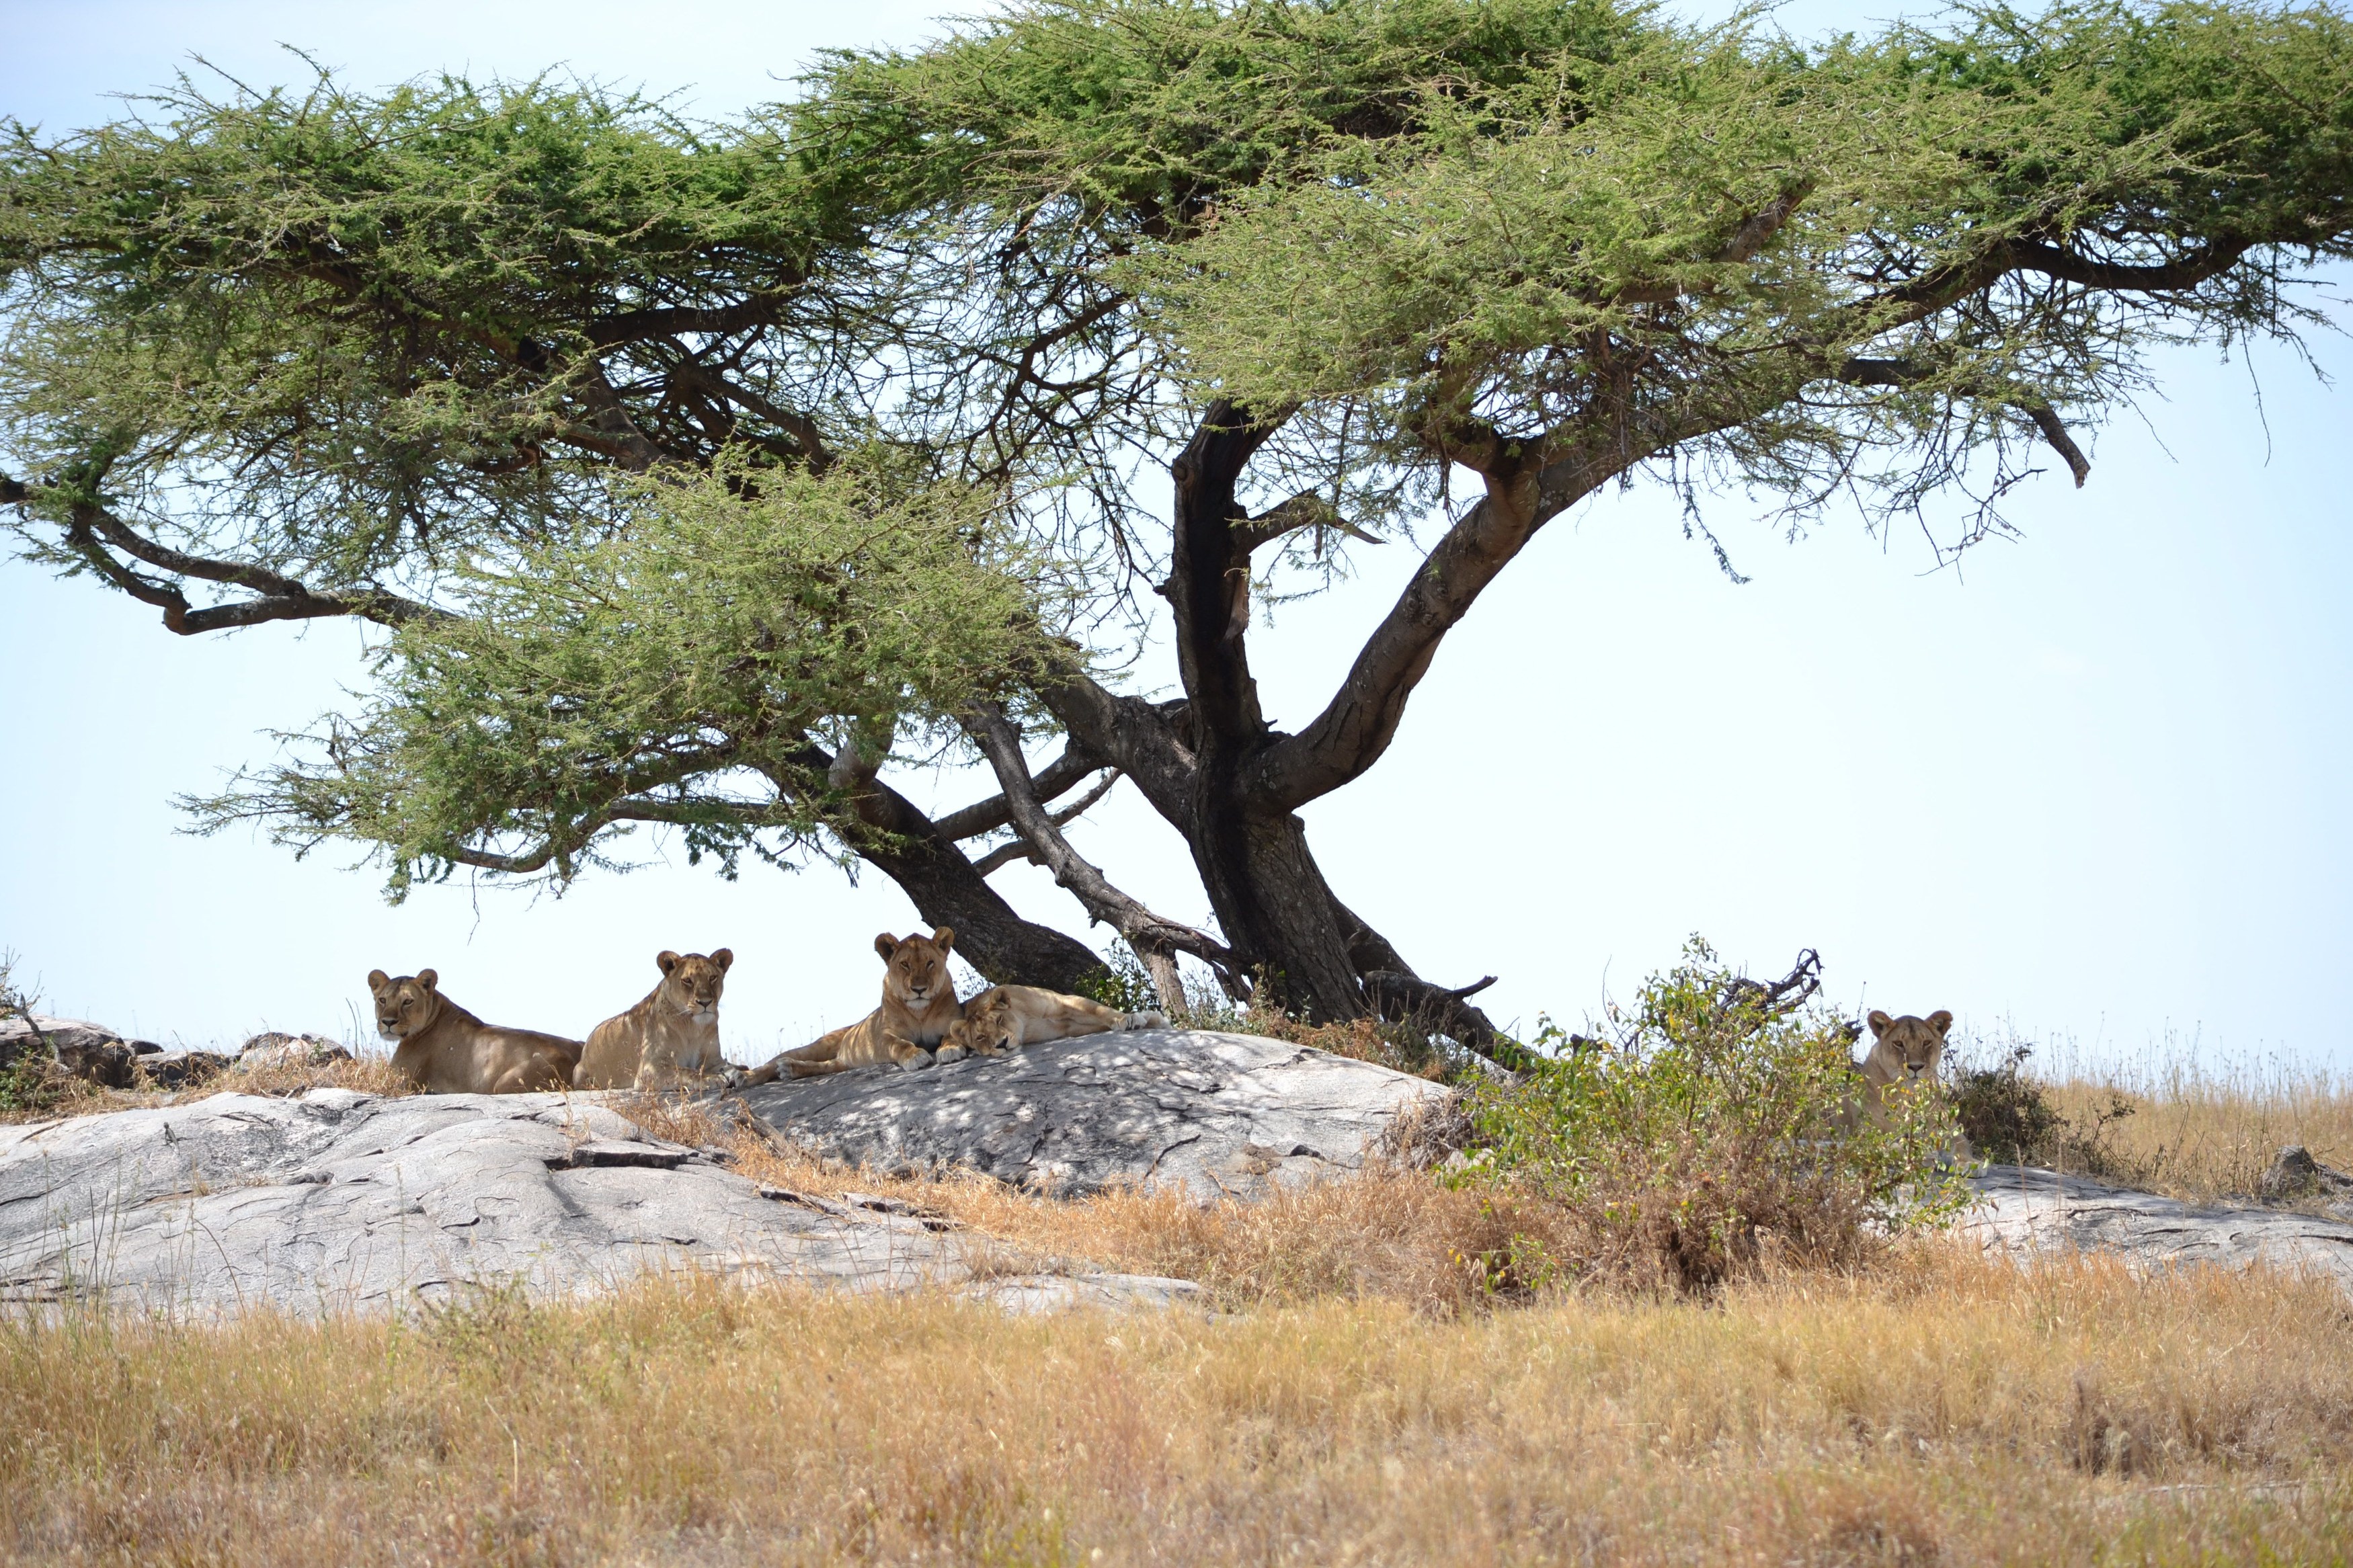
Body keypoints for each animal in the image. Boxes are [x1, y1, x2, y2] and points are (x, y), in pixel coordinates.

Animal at [575, 949, 733, 1091]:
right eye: (687, 980)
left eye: (712, 978)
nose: (705, 1002)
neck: (693, 1028)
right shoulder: (650, 1069)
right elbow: (686, 1071)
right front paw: (712, 1078)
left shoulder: (714, 1060)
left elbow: (730, 1066)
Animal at [736, 928, 965, 1083]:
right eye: (905, 964)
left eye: (930, 963)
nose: (919, 989)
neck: (919, 1012)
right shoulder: (881, 1035)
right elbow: (899, 1044)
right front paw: (915, 1056)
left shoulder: (954, 1020)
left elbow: (952, 1035)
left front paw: (951, 1049)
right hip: (819, 1045)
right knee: (777, 1061)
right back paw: (744, 1077)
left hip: (842, 1061)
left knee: (826, 1066)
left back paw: (790, 1069)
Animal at [937, 984, 1166, 1061]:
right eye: (981, 1037)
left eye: (1000, 1019)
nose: (1002, 1044)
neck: (1026, 1021)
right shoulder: (1069, 1028)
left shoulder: (1066, 1001)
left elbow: (1100, 1010)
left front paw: (1130, 1018)